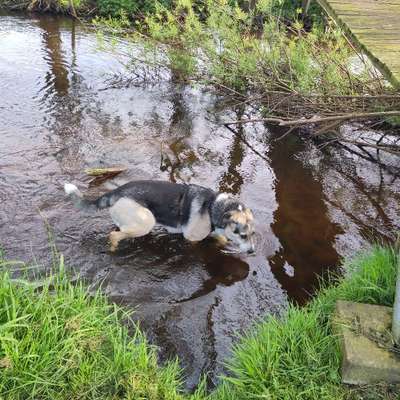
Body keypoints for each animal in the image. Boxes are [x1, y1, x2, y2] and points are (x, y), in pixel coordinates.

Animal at [64, 180, 255, 253]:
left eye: (252, 234)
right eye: (242, 235)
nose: (252, 251)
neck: (213, 206)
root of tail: (115, 192)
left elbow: (221, 239)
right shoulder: (192, 238)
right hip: (147, 221)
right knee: (113, 235)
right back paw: (113, 248)